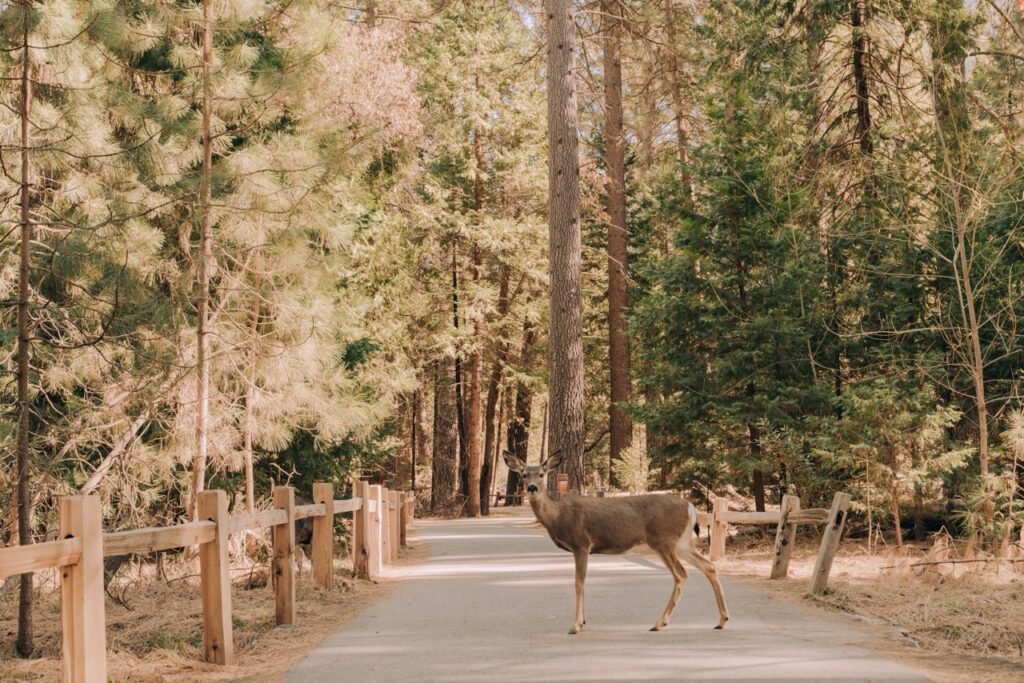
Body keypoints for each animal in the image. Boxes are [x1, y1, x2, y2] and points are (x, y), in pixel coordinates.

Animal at [503, 448, 729, 634]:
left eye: (541, 474)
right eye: (524, 474)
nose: (532, 488)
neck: (558, 516)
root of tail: (690, 507)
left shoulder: (581, 543)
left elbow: (578, 582)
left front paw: (575, 625)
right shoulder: (583, 547)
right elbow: (583, 582)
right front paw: (583, 621)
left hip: (663, 540)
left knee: (682, 574)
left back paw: (659, 623)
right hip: (681, 543)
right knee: (708, 566)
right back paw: (722, 620)